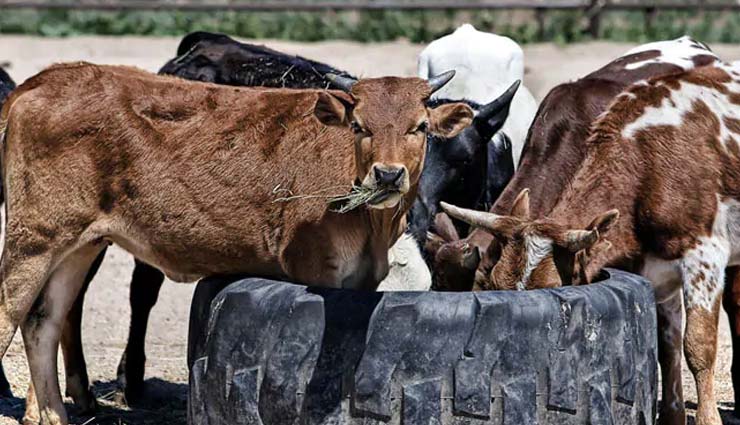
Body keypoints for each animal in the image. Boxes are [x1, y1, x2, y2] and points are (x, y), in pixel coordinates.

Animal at [443, 63, 740, 425]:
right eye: (495, 285)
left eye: (554, 288)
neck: (648, 162)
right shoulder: (657, 272)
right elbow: (667, 345)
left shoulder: (704, 258)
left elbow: (698, 348)